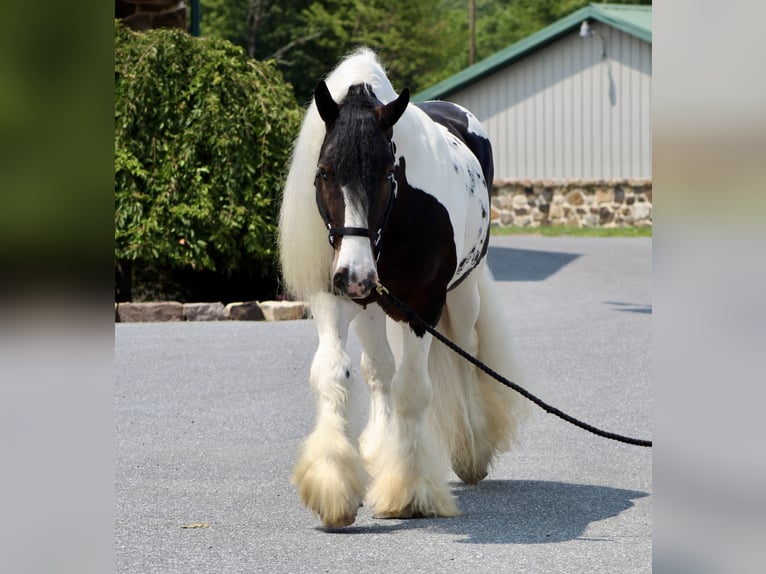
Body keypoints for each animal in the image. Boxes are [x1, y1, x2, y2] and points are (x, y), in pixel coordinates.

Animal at [280, 49, 528, 532]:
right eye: (324, 172)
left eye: (386, 172)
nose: (355, 274)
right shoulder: (334, 299)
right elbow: (335, 373)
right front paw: (334, 485)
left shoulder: (423, 305)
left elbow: (413, 388)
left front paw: (409, 492)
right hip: (374, 305)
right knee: (379, 369)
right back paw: (379, 449)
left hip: (462, 294)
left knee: (464, 353)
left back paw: (471, 448)